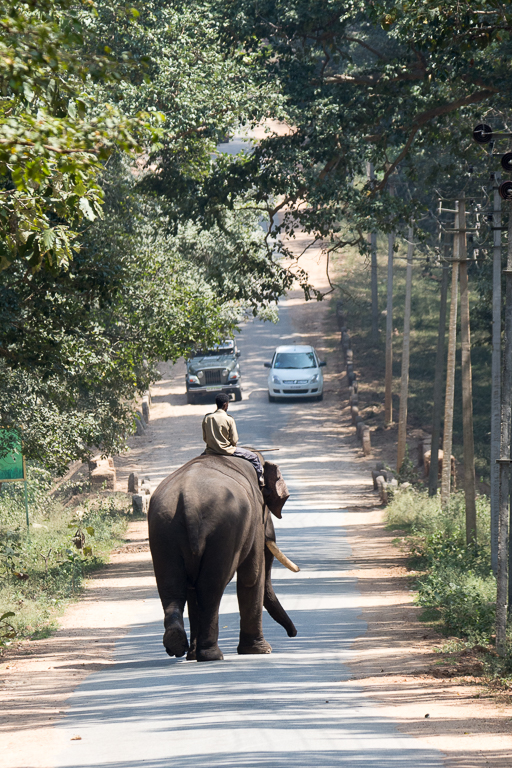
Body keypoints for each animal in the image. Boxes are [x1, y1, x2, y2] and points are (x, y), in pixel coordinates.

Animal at [148, 452, 298, 664]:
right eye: (266, 509)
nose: (293, 633)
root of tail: (188, 501)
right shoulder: (252, 523)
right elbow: (252, 576)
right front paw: (260, 651)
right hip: (224, 530)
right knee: (210, 588)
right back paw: (212, 656)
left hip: (163, 528)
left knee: (172, 586)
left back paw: (180, 646)